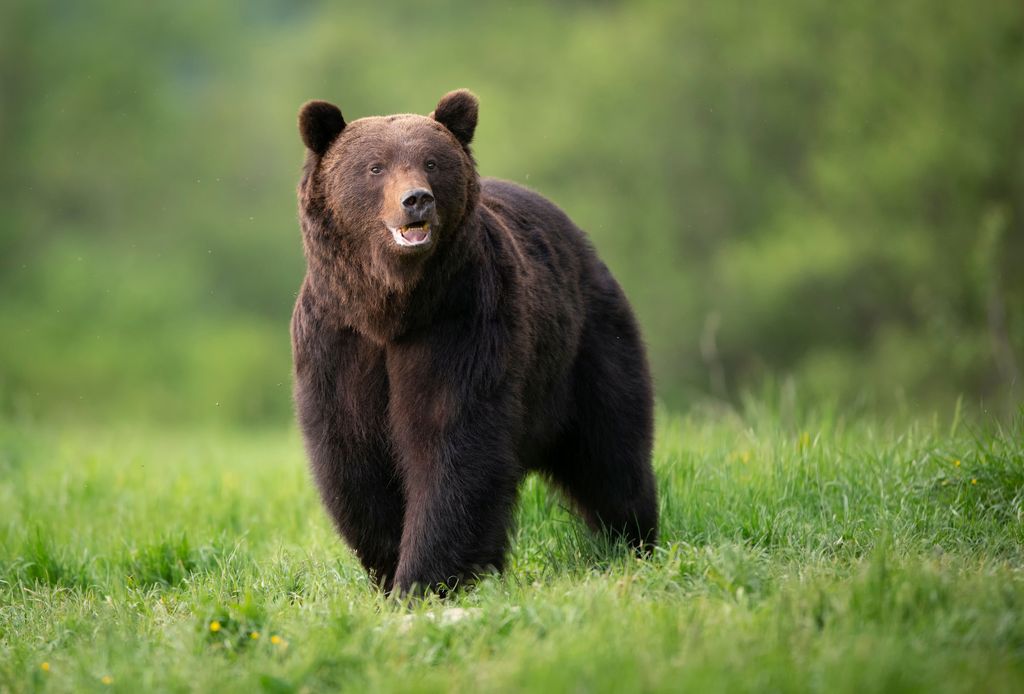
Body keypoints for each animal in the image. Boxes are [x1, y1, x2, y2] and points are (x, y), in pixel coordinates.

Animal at [291, 89, 658, 595]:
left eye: (431, 161)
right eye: (375, 167)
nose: (416, 200)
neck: (390, 310)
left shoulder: (460, 325)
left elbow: (452, 441)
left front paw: (422, 579)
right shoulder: (338, 342)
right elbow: (353, 456)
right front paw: (389, 568)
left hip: (588, 345)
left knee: (611, 450)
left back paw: (635, 539)